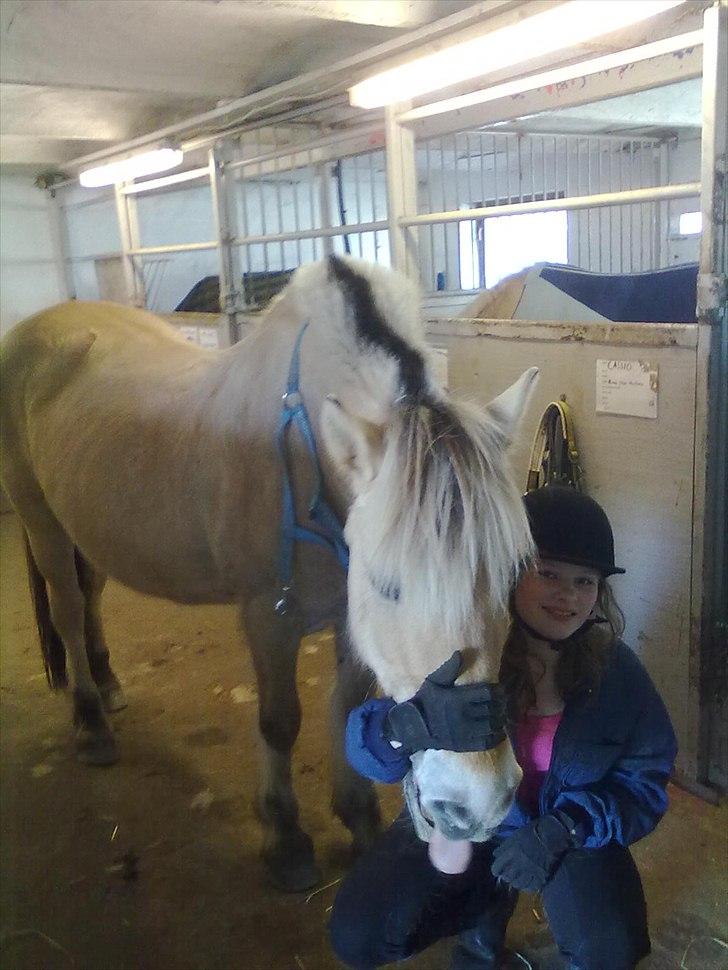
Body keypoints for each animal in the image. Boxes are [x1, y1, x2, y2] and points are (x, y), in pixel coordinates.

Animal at [0, 254, 537, 891]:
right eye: (388, 586)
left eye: (511, 576)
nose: (476, 804)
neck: (306, 459)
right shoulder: (270, 617)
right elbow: (281, 721)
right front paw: (284, 837)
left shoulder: (348, 619)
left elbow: (345, 705)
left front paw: (357, 818)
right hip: (43, 523)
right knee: (66, 608)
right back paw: (90, 722)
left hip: (87, 526)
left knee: (91, 600)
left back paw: (107, 683)